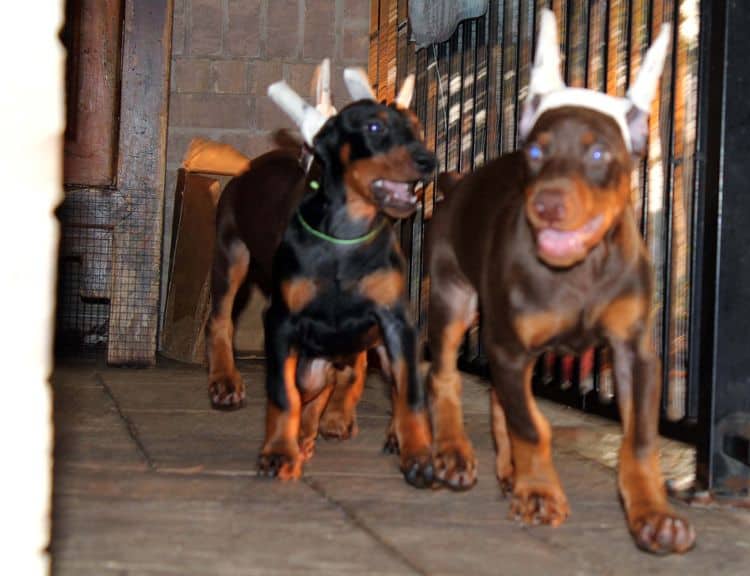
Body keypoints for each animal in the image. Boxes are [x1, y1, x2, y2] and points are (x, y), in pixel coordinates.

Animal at [209, 71, 438, 486]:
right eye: (374, 127)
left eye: (417, 129)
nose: (429, 161)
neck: (347, 232)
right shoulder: (282, 321)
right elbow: (284, 394)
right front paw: (279, 452)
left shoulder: (395, 322)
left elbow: (408, 391)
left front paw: (417, 455)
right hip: (231, 253)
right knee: (221, 319)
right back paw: (227, 383)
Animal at [426, 10, 696, 552]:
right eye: (534, 151)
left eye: (597, 155)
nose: (546, 205)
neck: (580, 271)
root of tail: (458, 183)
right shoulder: (510, 348)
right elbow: (533, 427)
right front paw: (539, 494)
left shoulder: (634, 351)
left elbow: (640, 439)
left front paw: (653, 514)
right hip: (451, 299)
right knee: (446, 375)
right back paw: (453, 455)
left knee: (497, 396)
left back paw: (507, 469)